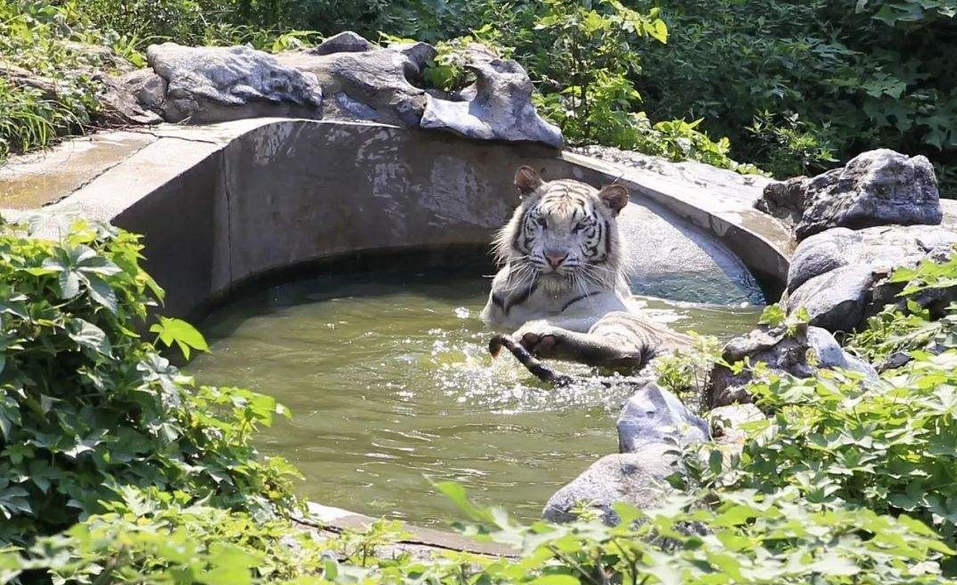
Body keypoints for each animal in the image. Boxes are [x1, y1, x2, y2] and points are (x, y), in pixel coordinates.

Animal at [478, 165, 688, 374]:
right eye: (543, 221)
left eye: (580, 226)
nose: (554, 257)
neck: (542, 295)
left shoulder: (607, 308)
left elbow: (564, 318)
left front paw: (531, 329)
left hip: (619, 320)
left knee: (626, 352)